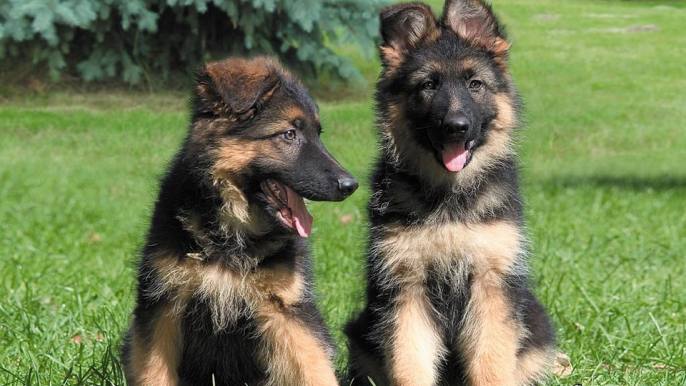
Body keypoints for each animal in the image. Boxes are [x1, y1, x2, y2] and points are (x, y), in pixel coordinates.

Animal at [122, 55, 360, 386]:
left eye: (318, 134)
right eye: (289, 134)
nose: (351, 185)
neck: (232, 229)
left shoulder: (288, 310)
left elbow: (315, 368)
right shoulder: (162, 305)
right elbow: (154, 372)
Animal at [350, 0, 560, 386]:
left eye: (475, 84)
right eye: (428, 85)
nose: (456, 127)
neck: (449, 198)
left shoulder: (491, 285)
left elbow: (491, 363)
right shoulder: (405, 287)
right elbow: (410, 362)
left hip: (535, 323)